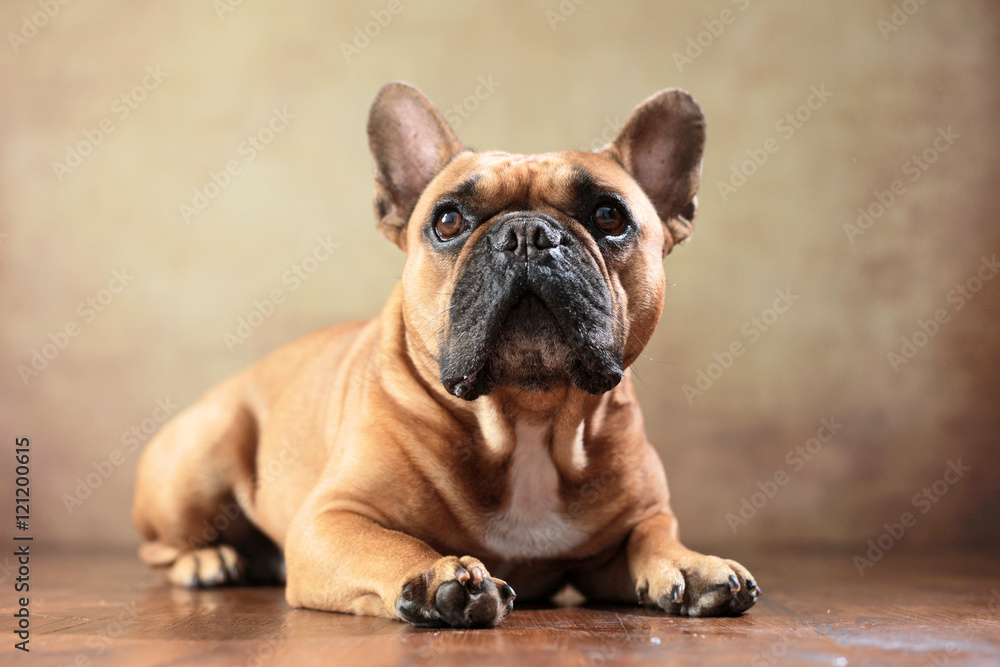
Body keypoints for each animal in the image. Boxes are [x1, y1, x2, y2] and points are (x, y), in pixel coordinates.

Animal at [133, 82, 756, 628]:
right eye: (448, 220)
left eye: (609, 216)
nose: (527, 235)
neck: (527, 415)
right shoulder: (331, 519)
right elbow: (388, 543)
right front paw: (436, 576)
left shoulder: (622, 538)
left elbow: (653, 534)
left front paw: (693, 565)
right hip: (205, 448)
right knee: (159, 549)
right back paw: (209, 560)